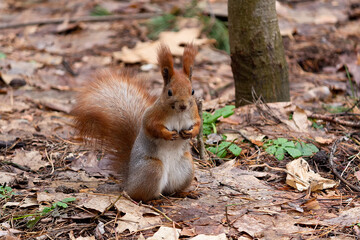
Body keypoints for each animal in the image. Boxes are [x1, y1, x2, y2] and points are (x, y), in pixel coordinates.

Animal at [71, 43, 201, 201]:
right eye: (169, 92)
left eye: (192, 91)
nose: (183, 105)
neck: (179, 114)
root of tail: (129, 182)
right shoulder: (152, 115)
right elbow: (151, 127)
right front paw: (168, 135)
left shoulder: (194, 114)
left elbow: (198, 124)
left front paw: (191, 132)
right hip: (152, 168)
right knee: (139, 195)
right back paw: (153, 201)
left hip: (185, 167)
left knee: (172, 191)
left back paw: (185, 193)